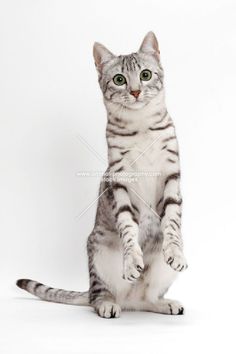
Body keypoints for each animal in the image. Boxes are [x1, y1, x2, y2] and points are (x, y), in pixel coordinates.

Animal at [16, 31, 188, 318]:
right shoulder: (120, 181)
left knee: (147, 298)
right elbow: (128, 227)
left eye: (145, 75)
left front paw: (176, 252)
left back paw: (165, 303)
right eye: (119, 79)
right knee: (99, 294)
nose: (135, 91)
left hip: (156, 278)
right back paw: (109, 303)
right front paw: (132, 261)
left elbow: (173, 223)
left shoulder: (171, 175)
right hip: (97, 254)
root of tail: (129, 300)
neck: (142, 127)